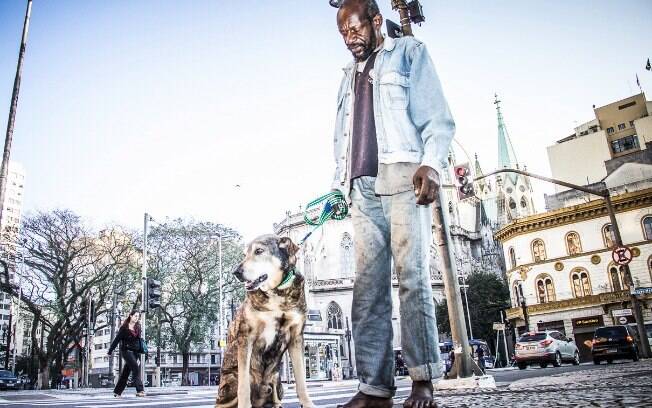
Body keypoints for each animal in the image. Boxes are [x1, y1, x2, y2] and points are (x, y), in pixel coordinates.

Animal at [215, 234, 314, 408]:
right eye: (244, 254)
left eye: (259, 251)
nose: (236, 272)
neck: (278, 292)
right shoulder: (246, 337)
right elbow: (244, 387)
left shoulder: (296, 337)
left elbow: (301, 379)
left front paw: (308, 403)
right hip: (232, 380)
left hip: (277, 380)